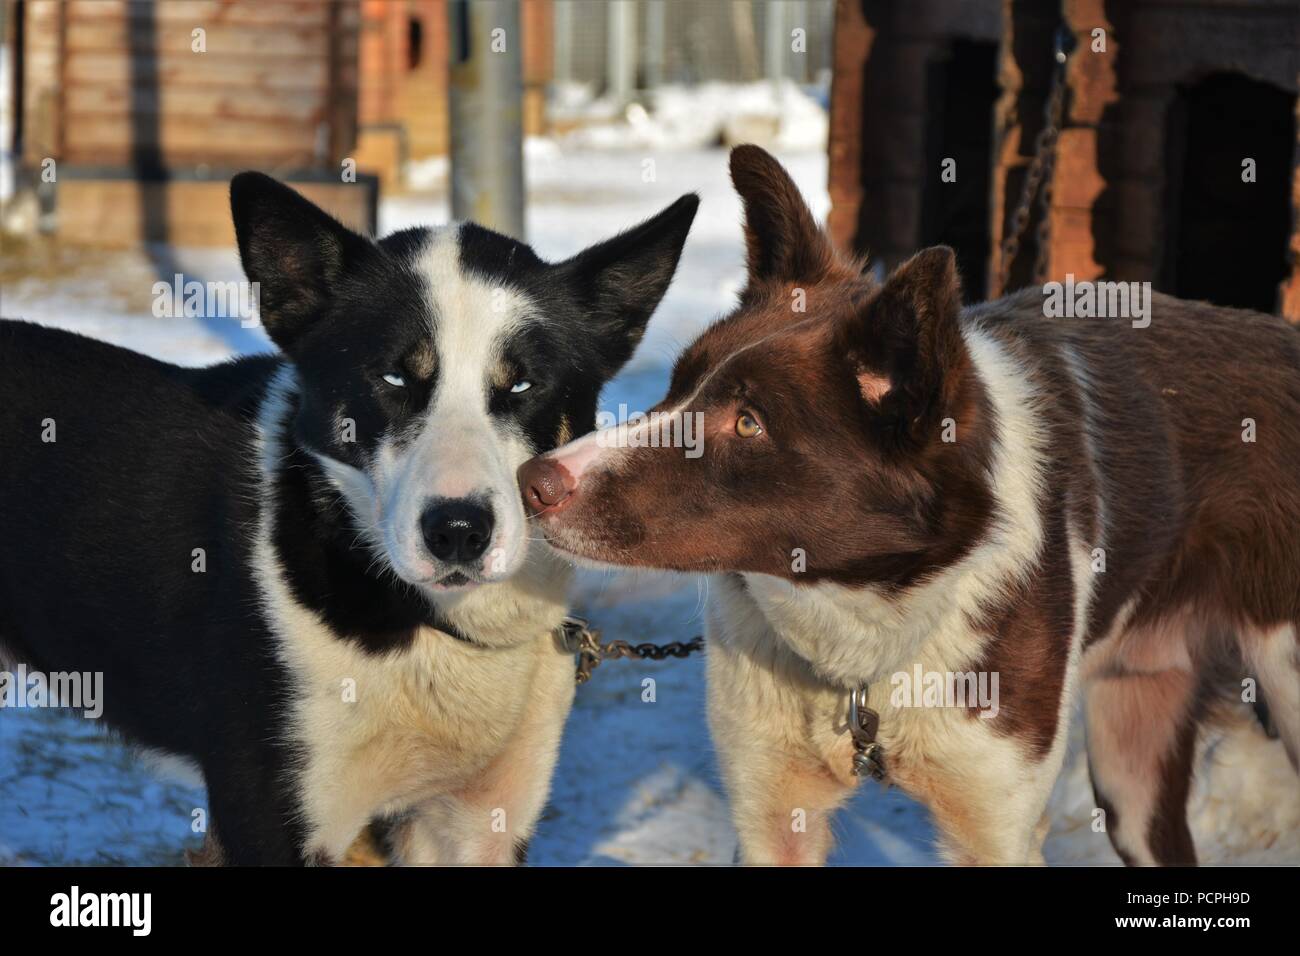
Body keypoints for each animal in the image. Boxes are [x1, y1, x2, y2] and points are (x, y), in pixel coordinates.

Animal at [520, 143, 1300, 868]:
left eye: (748, 423)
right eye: (678, 384)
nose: (535, 480)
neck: (863, 624)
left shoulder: (994, 828)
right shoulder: (773, 813)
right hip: (1131, 754)